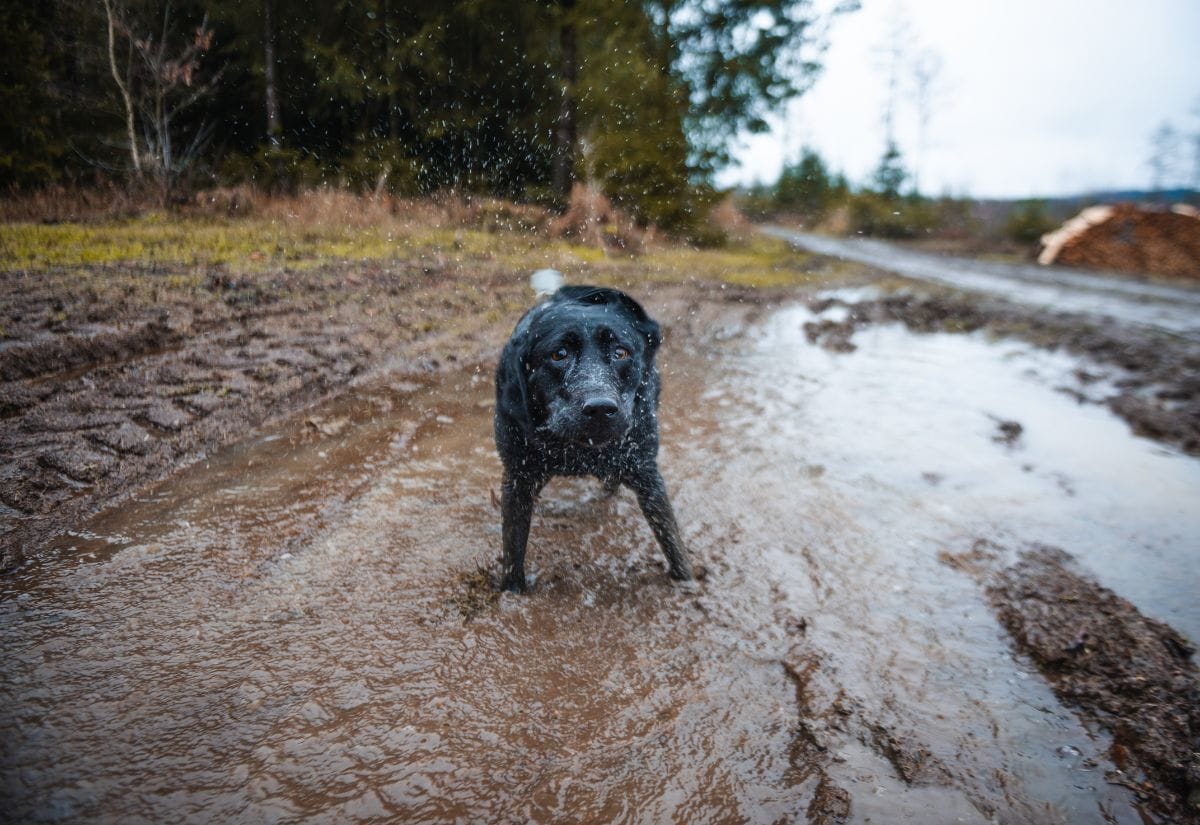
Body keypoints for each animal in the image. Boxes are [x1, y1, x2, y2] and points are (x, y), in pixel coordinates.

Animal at [492, 285, 691, 592]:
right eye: (558, 354)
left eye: (621, 352)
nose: (600, 408)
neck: (580, 450)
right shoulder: (518, 477)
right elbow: (513, 550)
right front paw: (512, 593)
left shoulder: (646, 472)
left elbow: (671, 540)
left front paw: (689, 583)